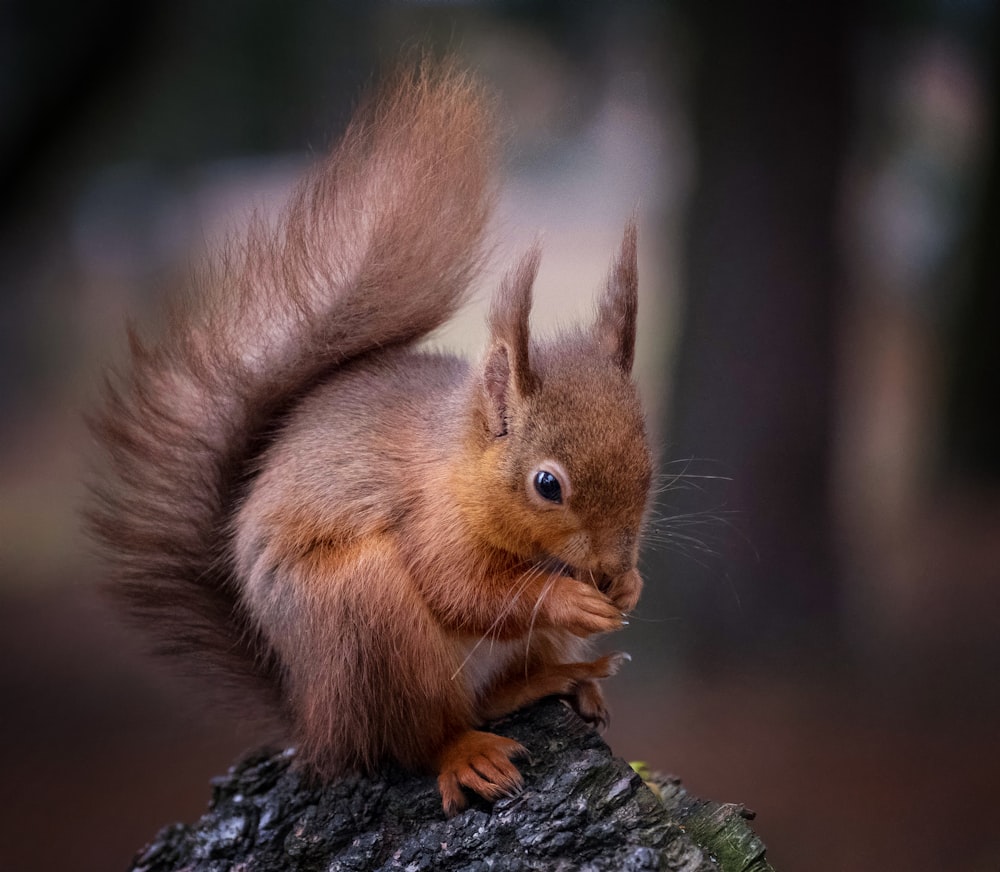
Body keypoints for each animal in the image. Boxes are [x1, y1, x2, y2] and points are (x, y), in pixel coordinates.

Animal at [88, 61, 656, 816]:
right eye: (546, 485)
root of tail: (314, 718)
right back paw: (467, 753)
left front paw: (629, 588)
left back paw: (563, 678)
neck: (460, 465)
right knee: (419, 735)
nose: (611, 568)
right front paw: (576, 598)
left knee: (493, 694)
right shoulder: (430, 523)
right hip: (366, 619)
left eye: (649, 468)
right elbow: (465, 588)